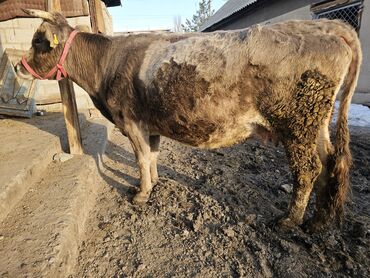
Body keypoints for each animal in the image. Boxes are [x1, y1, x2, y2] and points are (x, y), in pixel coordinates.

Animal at [16, 9, 362, 232]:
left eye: (38, 42)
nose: (18, 67)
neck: (106, 65)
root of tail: (328, 26)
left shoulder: (131, 122)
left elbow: (141, 159)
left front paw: (141, 194)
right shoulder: (150, 125)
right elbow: (152, 156)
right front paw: (152, 184)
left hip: (297, 126)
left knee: (308, 170)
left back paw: (290, 221)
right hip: (314, 126)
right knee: (329, 164)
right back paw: (317, 222)